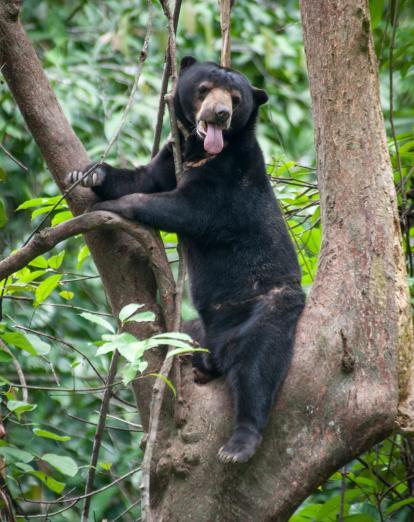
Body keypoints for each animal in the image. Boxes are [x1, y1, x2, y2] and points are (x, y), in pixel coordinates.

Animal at [68, 57, 306, 462]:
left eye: (236, 97)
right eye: (204, 88)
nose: (221, 113)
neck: (202, 150)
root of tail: (218, 348)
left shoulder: (231, 178)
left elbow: (187, 207)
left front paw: (115, 205)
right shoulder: (171, 155)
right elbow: (142, 178)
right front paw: (87, 173)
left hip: (270, 306)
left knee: (258, 366)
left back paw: (238, 446)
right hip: (192, 331)